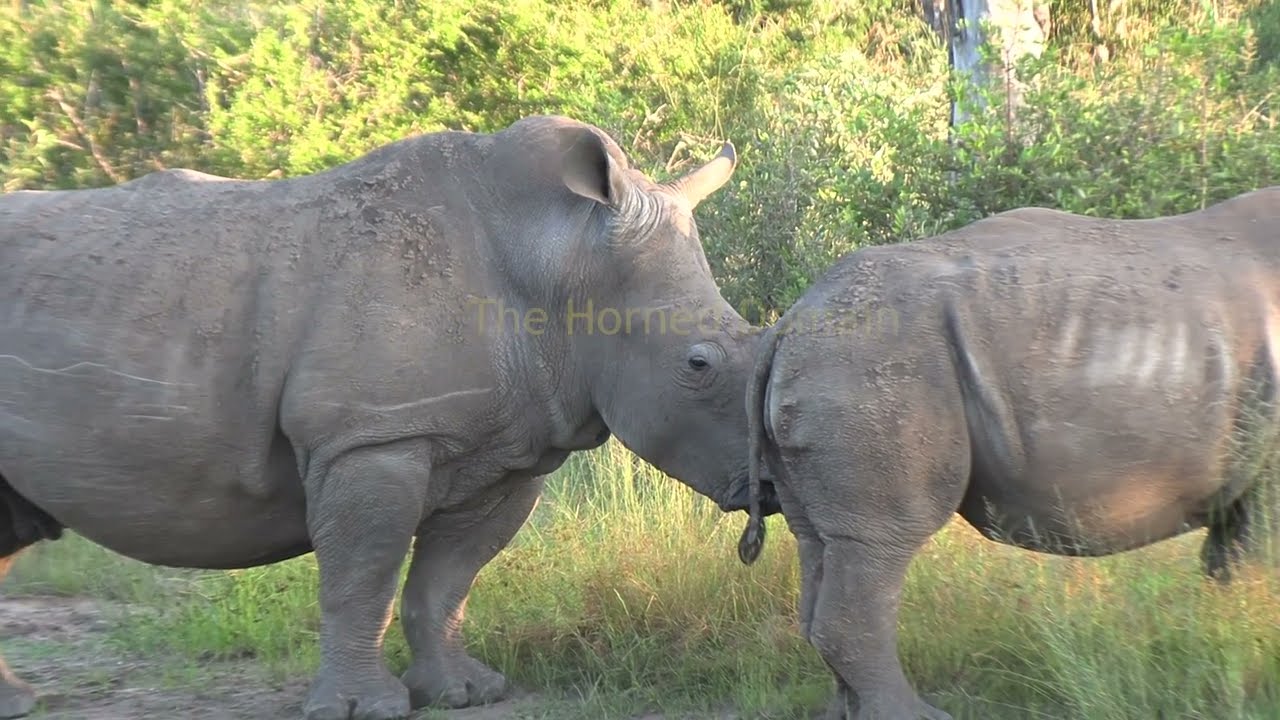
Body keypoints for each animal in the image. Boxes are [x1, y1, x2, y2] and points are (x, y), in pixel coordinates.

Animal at [0, 114, 783, 720]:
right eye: (698, 364)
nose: (773, 485)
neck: (557, 258)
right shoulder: (371, 436)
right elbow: (363, 574)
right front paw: (361, 708)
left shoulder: (510, 444)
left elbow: (448, 579)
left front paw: (466, 693)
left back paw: (20, 703)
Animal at [736, 187, 1280, 720]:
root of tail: (789, 322)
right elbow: (1257, 569)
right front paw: (1247, 655)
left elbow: (1228, 569)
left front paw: (1223, 644)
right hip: (872, 360)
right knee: (882, 539)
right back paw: (920, 715)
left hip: (838, 356)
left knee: (819, 540)